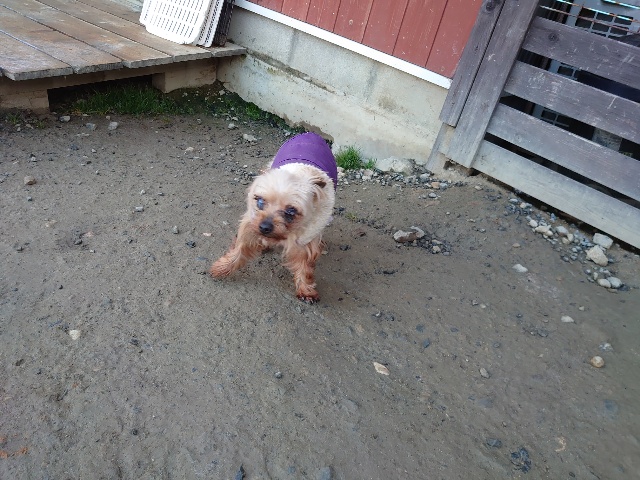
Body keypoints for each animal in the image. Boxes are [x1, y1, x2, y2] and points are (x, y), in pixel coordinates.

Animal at [210, 132, 337, 303]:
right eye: (260, 201)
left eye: (291, 212)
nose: (264, 227)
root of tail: (310, 134)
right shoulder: (250, 224)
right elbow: (239, 249)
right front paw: (222, 268)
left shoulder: (306, 238)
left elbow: (305, 265)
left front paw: (306, 289)